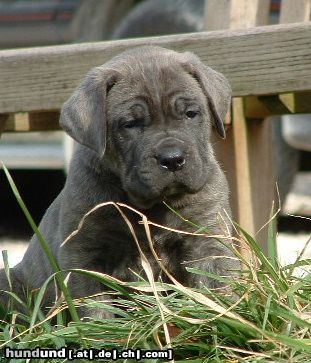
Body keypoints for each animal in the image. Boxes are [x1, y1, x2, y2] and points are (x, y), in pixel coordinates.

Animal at [0, 47, 240, 318]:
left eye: (191, 114)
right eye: (130, 124)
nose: (172, 159)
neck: (151, 207)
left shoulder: (206, 237)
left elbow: (217, 283)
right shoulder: (84, 255)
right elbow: (96, 309)